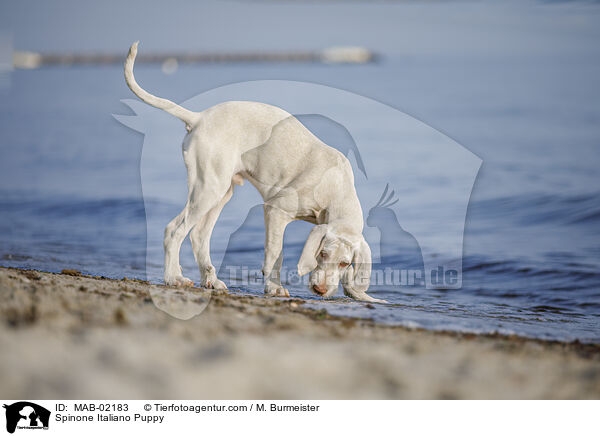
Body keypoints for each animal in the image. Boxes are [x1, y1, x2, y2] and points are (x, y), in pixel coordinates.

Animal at [124, 43, 384, 304]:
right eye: (322, 253)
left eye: (344, 263)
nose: (320, 290)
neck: (336, 189)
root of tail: (199, 118)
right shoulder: (275, 210)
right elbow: (275, 253)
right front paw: (274, 288)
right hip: (209, 187)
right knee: (173, 230)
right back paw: (173, 278)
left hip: (222, 191)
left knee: (198, 234)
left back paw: (211, 280)